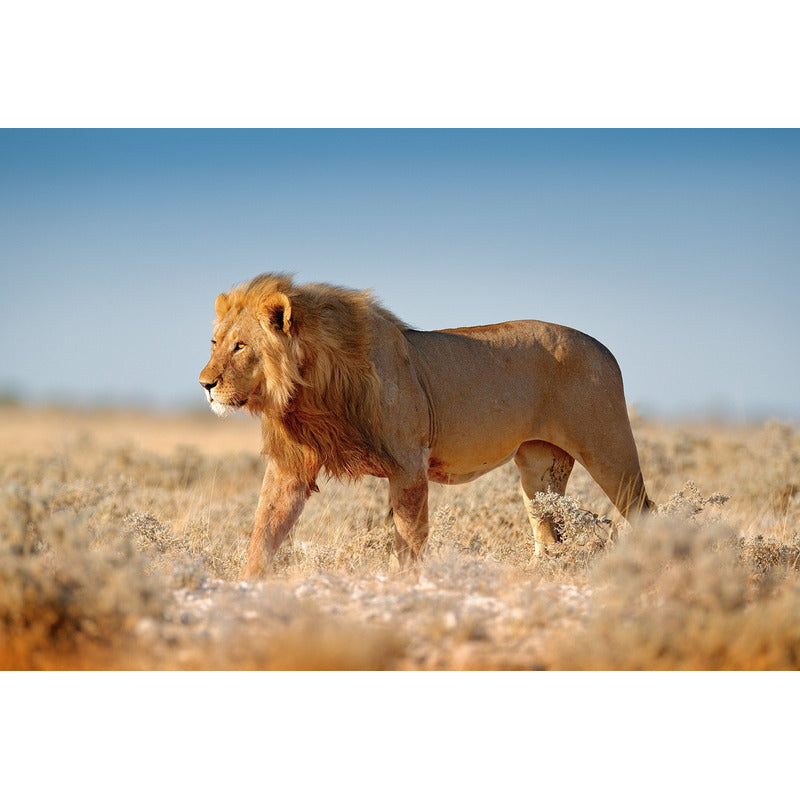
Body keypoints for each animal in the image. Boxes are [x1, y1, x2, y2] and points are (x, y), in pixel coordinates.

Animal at [199, 273, 653, 579]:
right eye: (215, 343)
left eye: (240, 346)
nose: (205, 385)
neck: (308, 390)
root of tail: (605, 349)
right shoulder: (289, 466)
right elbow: (265, 529)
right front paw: (246, 587)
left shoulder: (408, 465)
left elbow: (408, 537)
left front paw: (406, 583)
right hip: (539, 467)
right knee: (548, 532)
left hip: (609, 449)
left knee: (644, 510)